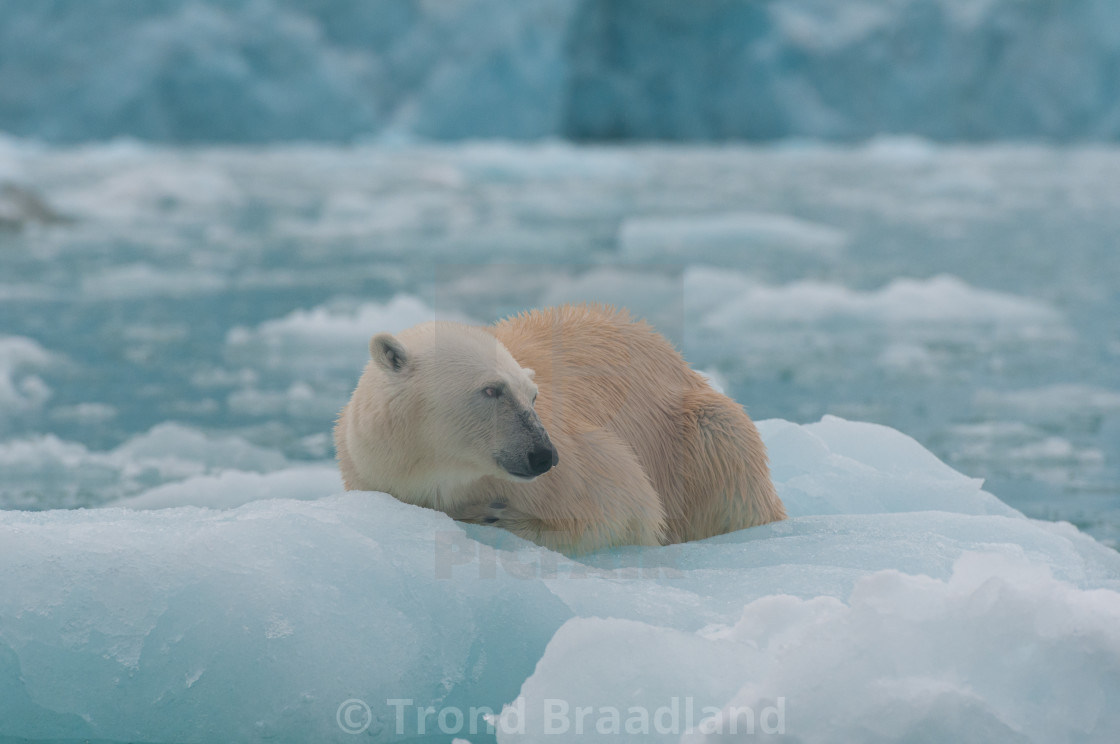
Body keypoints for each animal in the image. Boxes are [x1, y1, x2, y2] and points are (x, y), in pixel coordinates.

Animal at [336, 302, 784, 551]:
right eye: (491, 389)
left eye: (532, 395)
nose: (543, 455)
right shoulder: (374, 474)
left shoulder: (573, 460)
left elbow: (623, 508)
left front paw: (491, 516)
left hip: (693, 433)